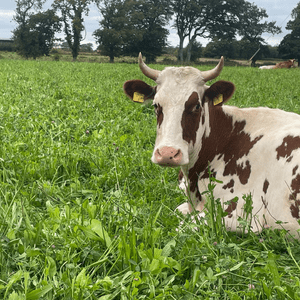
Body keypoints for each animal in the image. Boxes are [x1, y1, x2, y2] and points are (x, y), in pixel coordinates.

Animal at [123, 52, 300, 238]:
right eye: (156, 105)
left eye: (196, 106)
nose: (167, 154)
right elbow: (178, 210)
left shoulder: (240, 215)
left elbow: (181, 227)